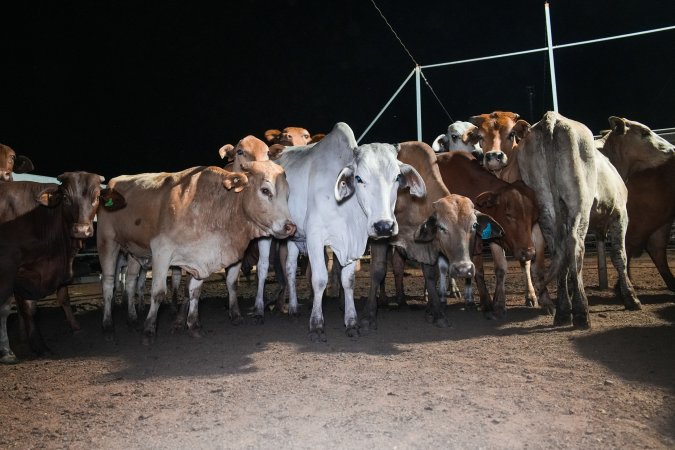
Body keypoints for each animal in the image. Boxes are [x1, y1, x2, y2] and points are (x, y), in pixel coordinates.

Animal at [0, 172, 119, 362]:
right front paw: (8, 351)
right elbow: (7, 308)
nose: (82, 230)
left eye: (96, 197)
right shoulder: (10, 269)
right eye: (65, 198)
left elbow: (56, 300)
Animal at [266, 123, 426, 342]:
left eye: (397, 177)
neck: (347, 209)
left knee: (290, 267)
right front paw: (316, 325)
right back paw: (284, 308)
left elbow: (348, 281)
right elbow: (319, 279)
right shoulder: (315, 237)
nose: (384, 226)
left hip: (294, 237)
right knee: (281, 268)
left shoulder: (354, 244)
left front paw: (351, 322)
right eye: (359, 178)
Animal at [436, 151, 552, 316]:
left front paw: (542, 300)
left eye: (532, 218)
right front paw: (488, 303)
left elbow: (510, 268)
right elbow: (479, 270)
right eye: (509, 215)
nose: (529, 252)